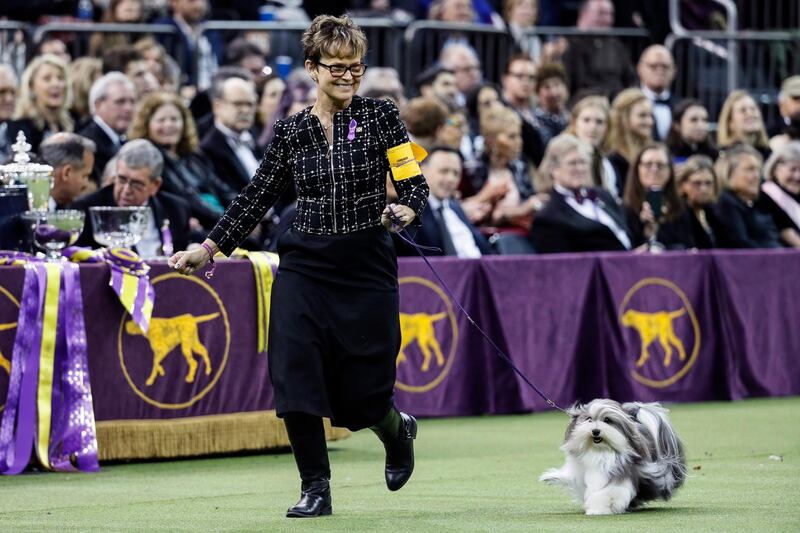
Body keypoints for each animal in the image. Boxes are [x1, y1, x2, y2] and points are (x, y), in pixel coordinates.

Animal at [536, 396, 688, 512]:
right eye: (589, 419)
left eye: (607, 420)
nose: (595, 431)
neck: (600, 451)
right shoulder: (581, 473)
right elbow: (574, 480)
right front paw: (550, 477)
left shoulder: (623, 473)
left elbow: (609, 492)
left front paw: (599, 508)